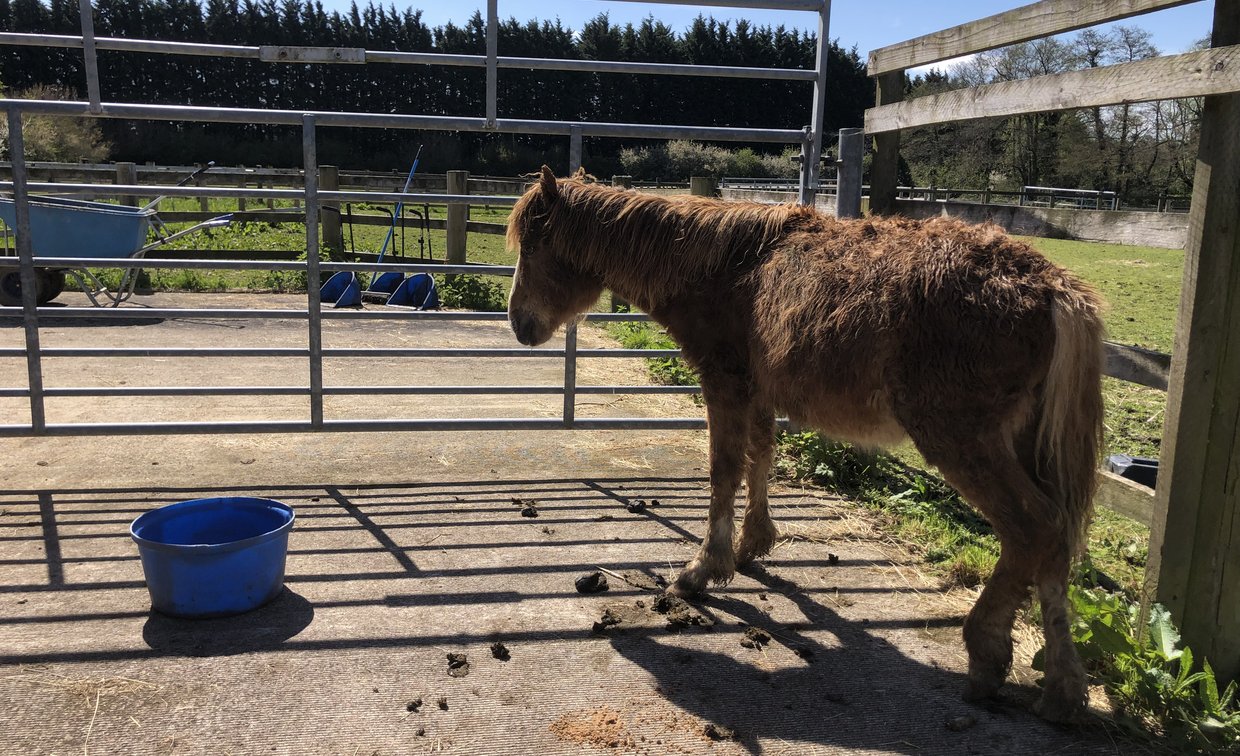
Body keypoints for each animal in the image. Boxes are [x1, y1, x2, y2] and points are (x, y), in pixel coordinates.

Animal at [506, 166, 1105, 722]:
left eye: (534, 246)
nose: (518, 324)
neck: (727, 267)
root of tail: (1053, 289)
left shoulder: (724, 383)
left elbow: (725, 469)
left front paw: (704, 569)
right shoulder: (759, 391)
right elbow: (760, 459)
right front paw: (753, 544)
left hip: (962, 438)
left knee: (1033, 529)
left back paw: (987, 656)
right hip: (1026, 443)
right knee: (1055, 542)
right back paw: (1062, 690)